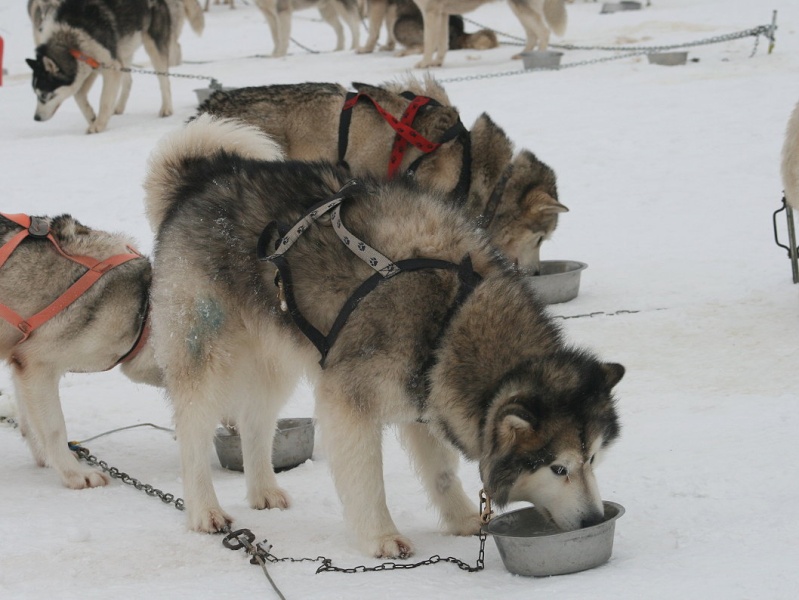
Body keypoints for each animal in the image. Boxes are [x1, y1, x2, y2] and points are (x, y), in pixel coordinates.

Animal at [0, 213, 162, 490]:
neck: (143, 313)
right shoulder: (38, 365)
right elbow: (54, 428)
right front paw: (74, 474)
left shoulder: (21, 364)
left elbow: (32, 423)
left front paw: (47, 458)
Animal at [26, 0, 181, 132]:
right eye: (35, 93)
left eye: (44, 95)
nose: (36, 118)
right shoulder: (92, 66)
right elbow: (78, 95)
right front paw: (91, 117)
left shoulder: (110, 67)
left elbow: (104, 100)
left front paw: (98, 125)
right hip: (123, 53)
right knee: (128, 81)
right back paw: (118, 107)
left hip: (152, 45)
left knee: (164, 80)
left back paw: (166, 108)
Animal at [142, 116, 620, 556]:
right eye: (558, 468)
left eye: (593, 459)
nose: (594, 519)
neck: (453, 312)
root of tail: (205, 177)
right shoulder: (350, 399)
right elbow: (367, 479)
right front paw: (382, 536)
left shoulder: (426, 396)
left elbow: (442, 471)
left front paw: (465, 519)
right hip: (205, 349)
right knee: (194, 430)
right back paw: (204, 510)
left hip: (273, 357)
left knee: (254, 421)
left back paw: (263, 490)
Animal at [412, 0, 568, 68]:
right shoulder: (443, 14)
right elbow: (442, 43)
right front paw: (436, 63)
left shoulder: (430, 13)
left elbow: (429, 42)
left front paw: (424, 64)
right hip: (517, 10)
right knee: (533, 35)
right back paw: (523, 55)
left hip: (522, 10)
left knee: (544, 32)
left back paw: (540, 59)